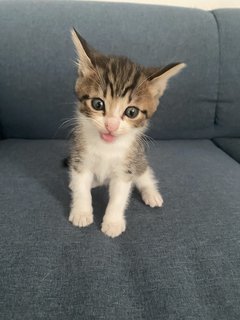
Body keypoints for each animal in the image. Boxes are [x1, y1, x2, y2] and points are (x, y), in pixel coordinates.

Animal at [68, 28, 186, 238]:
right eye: (97, 104)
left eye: (131, 112)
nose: (111, 125)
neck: (107, 147)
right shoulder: (80, 157)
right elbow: (81, 186)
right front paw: (82, 212)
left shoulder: (126, 166)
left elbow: (119, 196)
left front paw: (113, 222)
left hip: (139, 158)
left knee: (144, 174)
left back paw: (151, 193)